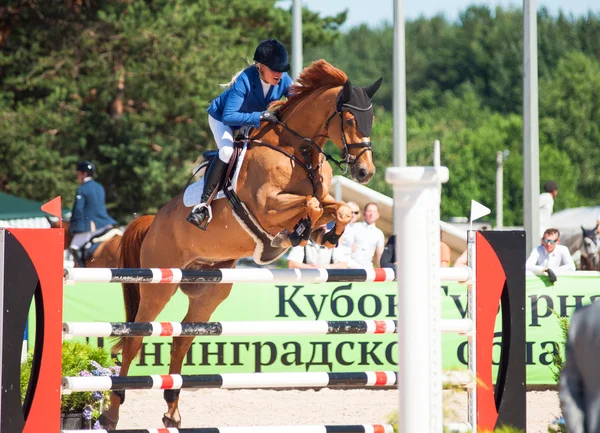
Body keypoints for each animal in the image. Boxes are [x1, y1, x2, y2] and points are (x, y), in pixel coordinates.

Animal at [98, 60, 380, 428]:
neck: (297, 150)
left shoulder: (323, 197)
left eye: (371, 119)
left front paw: (324, 235)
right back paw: (111, 413)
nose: (365, 172)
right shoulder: (267, 206)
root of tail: (152, 222)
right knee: (135, 340)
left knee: (181, 339)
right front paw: (294, 233)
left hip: (210, 291)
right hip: (159, 285)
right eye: (348, 120)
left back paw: (172, 412)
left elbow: (339, 208)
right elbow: (311, 205)